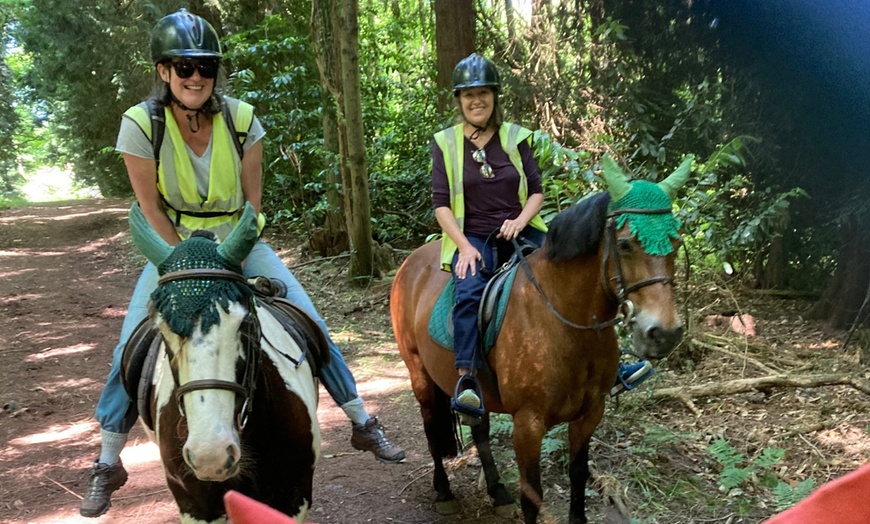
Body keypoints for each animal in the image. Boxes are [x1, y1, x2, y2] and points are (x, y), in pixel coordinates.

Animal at [392, 156, 692, 524]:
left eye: (676, 242)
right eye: (624, 244)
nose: (664, 333)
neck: (565, 322)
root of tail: (410, 262)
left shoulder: (590, 412)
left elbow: (578, 475)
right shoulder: (528, 424)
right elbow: (532, 494)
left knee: (479, 429)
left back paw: (497, 491)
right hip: (418, 373)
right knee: (432, 428)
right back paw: (444, 491)